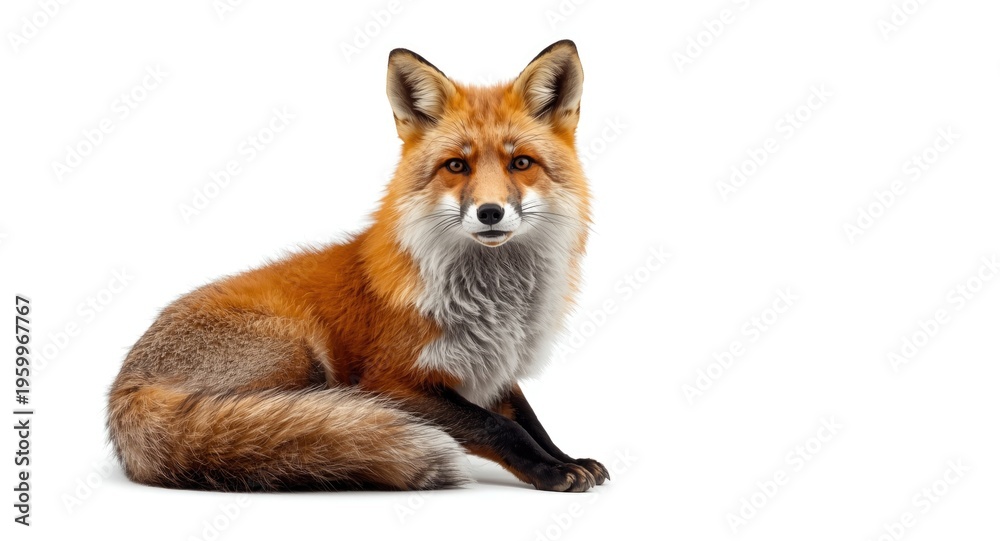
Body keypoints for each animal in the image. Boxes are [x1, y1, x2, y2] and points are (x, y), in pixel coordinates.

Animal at [107, 40, 608, 492]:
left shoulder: (493, 371)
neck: (496, 304)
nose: (490, 212)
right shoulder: (390, 382)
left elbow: (532, 421)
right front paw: (549, 471)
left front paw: (568, 459)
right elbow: (500, 427)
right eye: (456, 166)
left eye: (521, 162)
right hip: (298, 354)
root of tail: (123, 385)